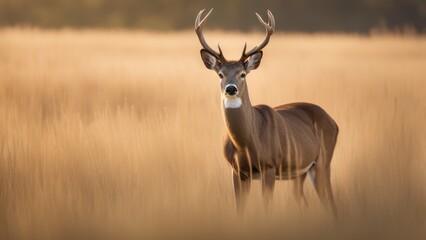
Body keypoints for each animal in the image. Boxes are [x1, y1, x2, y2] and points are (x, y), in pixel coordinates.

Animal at [196, 8, 340, 218]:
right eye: (220, 74)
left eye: (243, 74)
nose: (230, 89)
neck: (246, 143)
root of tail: (334, 122)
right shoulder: (237, 171)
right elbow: (239, 211)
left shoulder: (270, 166)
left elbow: (266, 208)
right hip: (300, 171)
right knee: (303, 200)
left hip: (323, 161)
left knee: (331, 203)